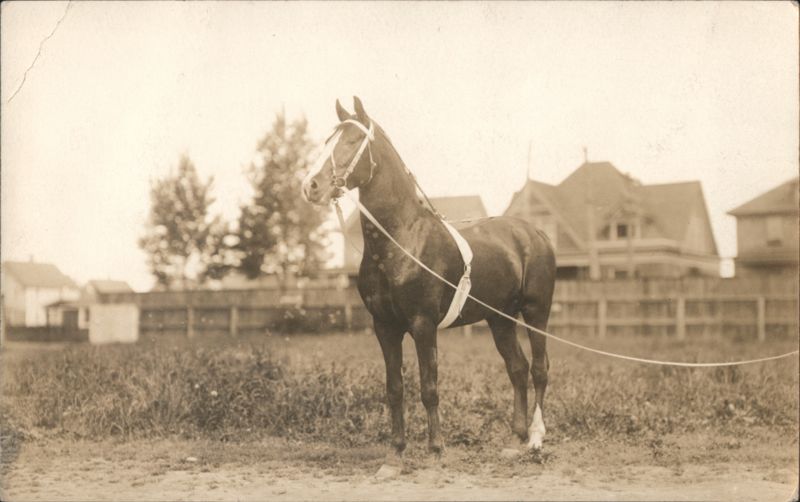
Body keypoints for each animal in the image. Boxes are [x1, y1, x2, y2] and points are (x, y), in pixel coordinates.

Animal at [301, 97, 556, 466]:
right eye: (326, 141)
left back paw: (535, 438)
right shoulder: (385, 327)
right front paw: (396, 450)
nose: (311, 186)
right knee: (517, 368)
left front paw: (436, 448)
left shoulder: (423, 325)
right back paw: (515, 438)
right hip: (500, 319)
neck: (402, 240)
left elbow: (428, 387)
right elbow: (395, 388)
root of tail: (535, 232)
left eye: (352, 141)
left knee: (539, 368)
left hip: (536, 313)